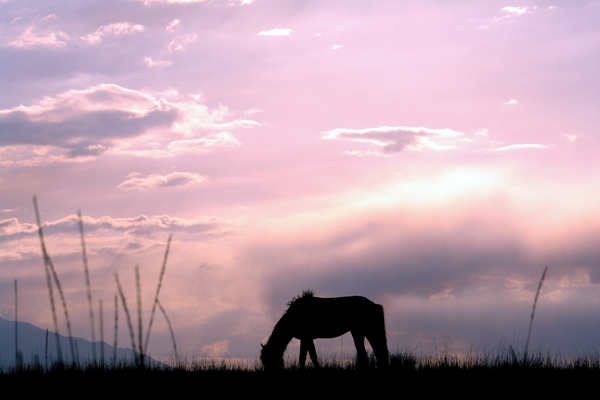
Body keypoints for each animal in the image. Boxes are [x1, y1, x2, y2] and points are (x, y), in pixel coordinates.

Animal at [258, 290, 390, 372]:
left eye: (269, 359)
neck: (294, 316)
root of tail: (375, 305)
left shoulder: (307, 337)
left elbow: (307, 357)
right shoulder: (307, 338)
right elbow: (308, 356)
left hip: (366, 331)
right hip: (359, 332)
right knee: (368, 354)